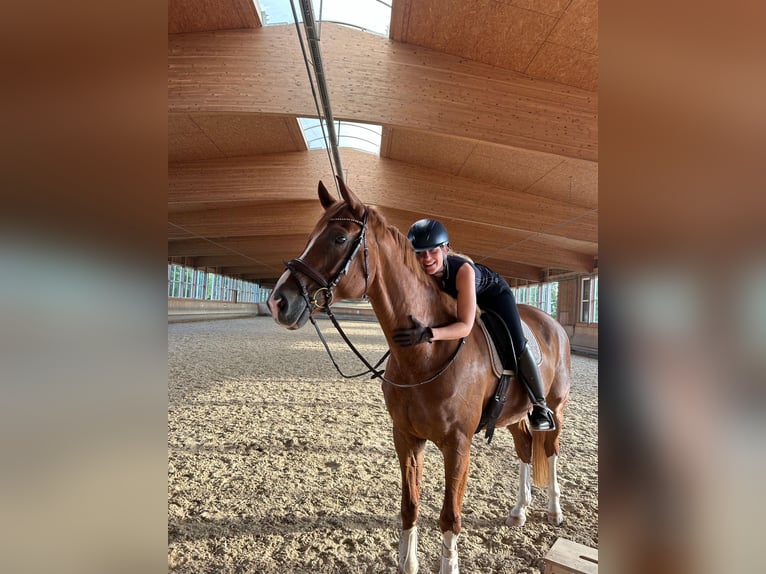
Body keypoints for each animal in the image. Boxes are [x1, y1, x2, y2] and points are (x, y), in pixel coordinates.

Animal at [268, 178, 572, 572]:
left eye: (338, 238)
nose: (278, 302)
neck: (426, 356)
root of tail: (553, 324)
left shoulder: (458, 445)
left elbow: (450, 516)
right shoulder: (407, 437)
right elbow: (409, 506)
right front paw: (407, 562)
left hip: (555, 408)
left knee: (549, 449)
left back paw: (554, 511)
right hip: (514, 416)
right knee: (524, 448)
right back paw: (519, 511)